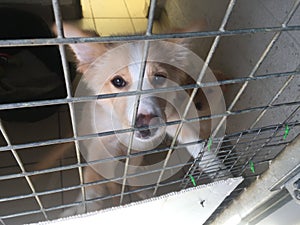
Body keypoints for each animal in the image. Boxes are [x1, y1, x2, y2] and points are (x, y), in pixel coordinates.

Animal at [43, 23, 229, 215]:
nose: (144, 125)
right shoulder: (101, 146)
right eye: (118, 81)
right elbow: (93, 183)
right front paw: (81, 209)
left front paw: (221, 173)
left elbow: (198, 146)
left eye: (159, 77)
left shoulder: (170, 119)